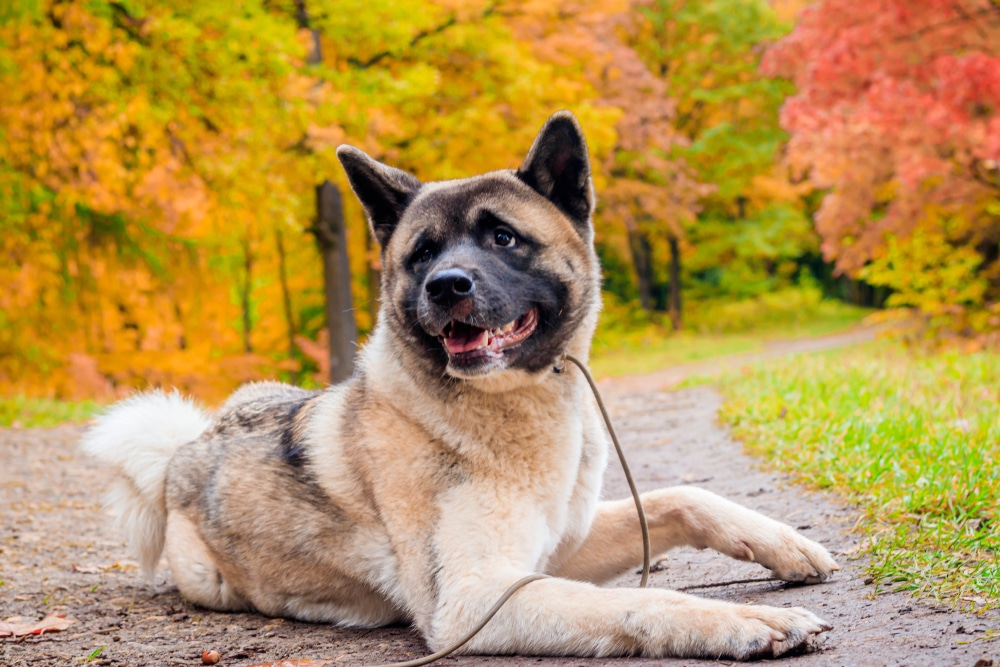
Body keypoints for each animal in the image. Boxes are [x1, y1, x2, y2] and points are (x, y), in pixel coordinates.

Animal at [84, 112, 836, 660]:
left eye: (503, 238)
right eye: (422, 255)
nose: (447, 286)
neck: (514, 410)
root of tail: (185, 449)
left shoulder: (563, 547)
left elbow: (682, 497)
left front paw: (780, 543)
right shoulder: (477, 598)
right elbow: (644, 599)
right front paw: (740, 619)